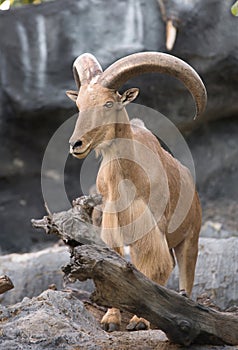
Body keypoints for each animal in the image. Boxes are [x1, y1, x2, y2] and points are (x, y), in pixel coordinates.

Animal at [65, 51, 206, 330]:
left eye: (109, 104)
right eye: (79, 106)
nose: (77, 144)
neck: (126, 178)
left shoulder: (152, 227)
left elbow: (153, 267)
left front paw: (140, 321)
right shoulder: (109, 222)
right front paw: (110, 319)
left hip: (190, 239)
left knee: (185, 274)